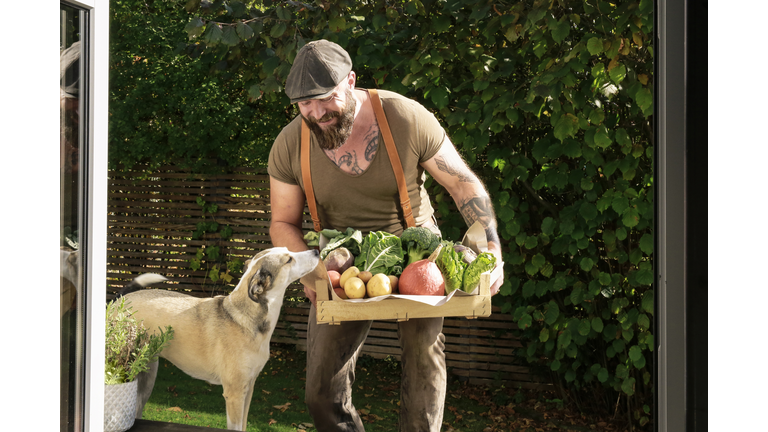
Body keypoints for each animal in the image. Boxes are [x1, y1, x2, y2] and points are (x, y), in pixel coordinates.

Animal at [118, 248, 320, 430]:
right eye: (288, 259)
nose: (317, 251)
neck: (246, 318)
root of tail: (121, 299)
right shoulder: (234, 393)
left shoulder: (249, 388)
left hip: (147, 376)